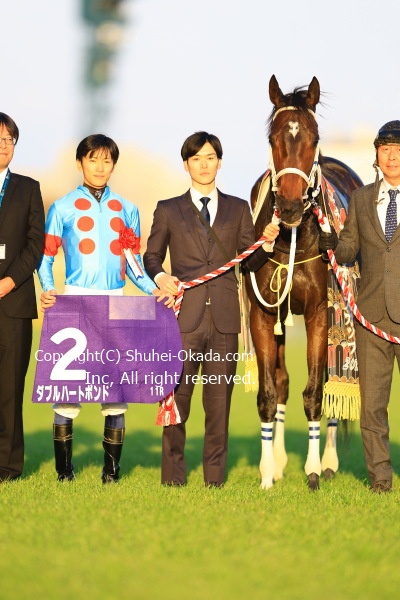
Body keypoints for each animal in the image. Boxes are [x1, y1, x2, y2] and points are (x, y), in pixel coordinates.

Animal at [245, 75, 362, 490]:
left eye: (314, 137)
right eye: (272, 138)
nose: (292, 207)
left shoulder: (318, 313)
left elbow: (316, 392)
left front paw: (312, 470)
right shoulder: (264, 315)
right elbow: (269, 392)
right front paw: (267, 472)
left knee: (331, 382)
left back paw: (328, 461)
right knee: (281, 382)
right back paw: (280, 461)